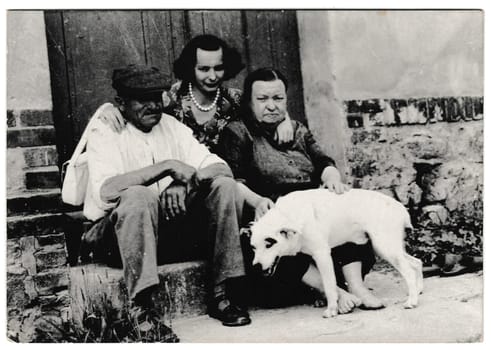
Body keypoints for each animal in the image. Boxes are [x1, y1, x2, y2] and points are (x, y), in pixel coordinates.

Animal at [250, 189, 422, 318]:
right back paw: (418, 290)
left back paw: (412, 301)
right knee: (416, 262)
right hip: (388, 247)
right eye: (253, 247)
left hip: (385, 247)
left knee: (408, 271)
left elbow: (329, 285)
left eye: (269, 243)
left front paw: (332, 309)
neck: (291, 214)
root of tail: (399, 207)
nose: (256, 267)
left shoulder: (322, 255)